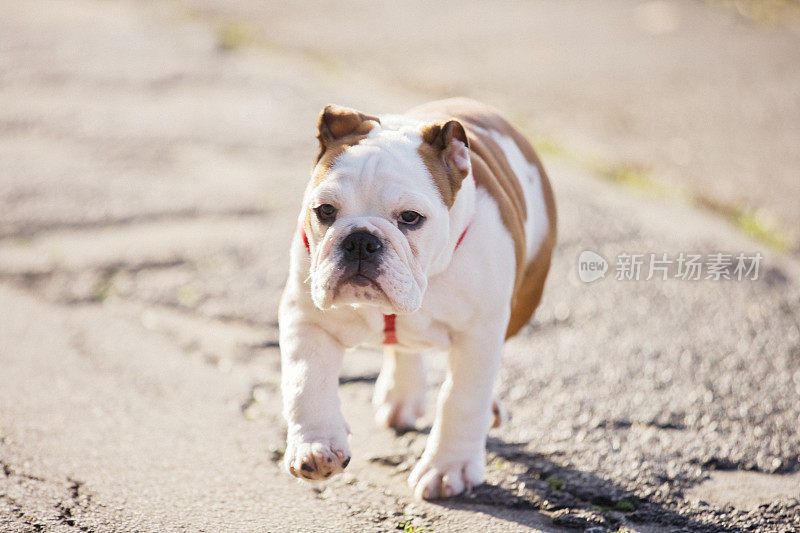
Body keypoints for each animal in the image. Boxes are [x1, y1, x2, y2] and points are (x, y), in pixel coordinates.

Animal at [280, 96, 556, 498]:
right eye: (325, 211)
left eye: (410, 217)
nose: (360, 240)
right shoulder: (307, 318)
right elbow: (306, 379)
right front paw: (316, 446)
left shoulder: (479, 334)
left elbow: (461, 399)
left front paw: (449, 467)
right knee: (402, 347)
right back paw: (400, 395)